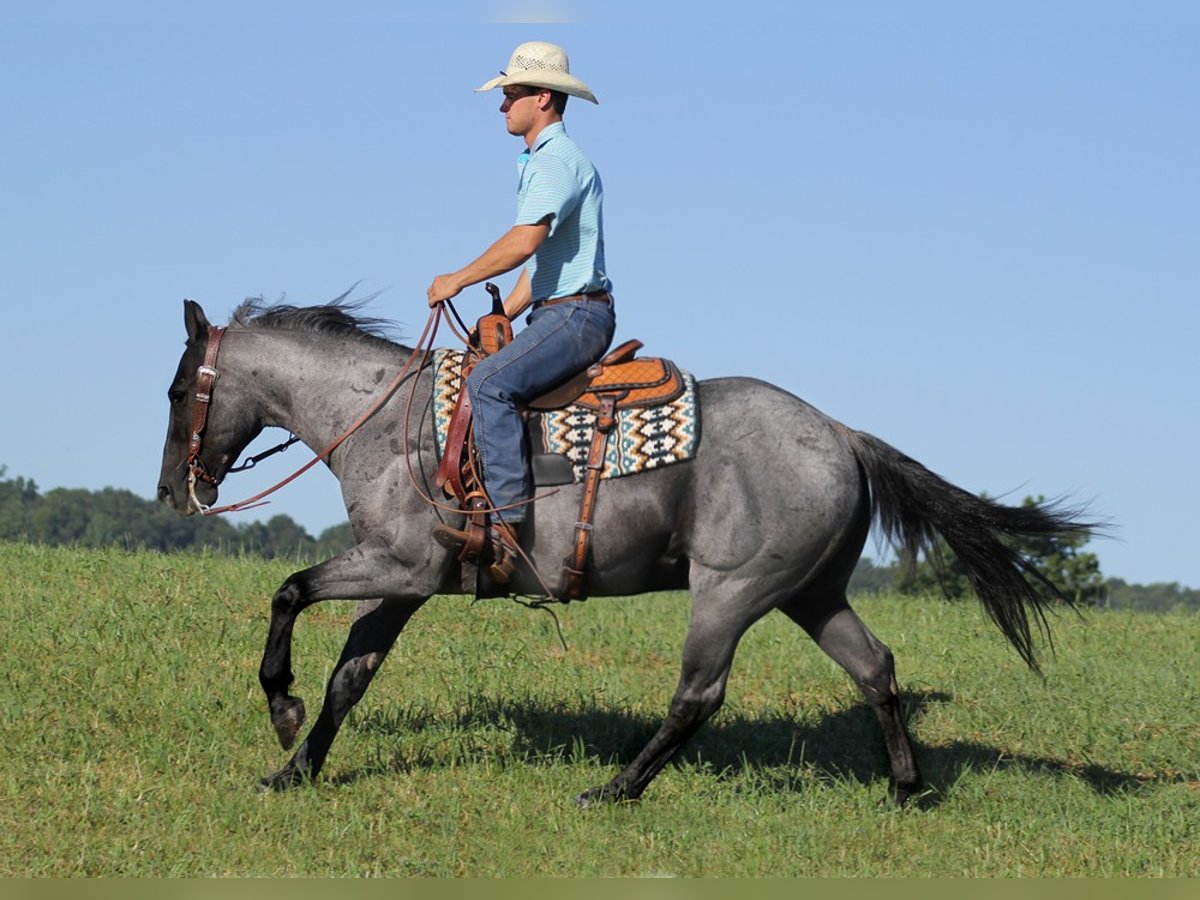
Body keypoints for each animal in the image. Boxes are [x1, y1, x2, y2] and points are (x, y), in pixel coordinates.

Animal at [159, 300, 1099, 806]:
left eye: (175, 391)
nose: (173, 491)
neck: (393, 426)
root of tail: (842, 434)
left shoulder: (403, 565)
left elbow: (289, 592)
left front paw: (281, 712)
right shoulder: (399, 583)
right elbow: (349, 678)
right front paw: (295, 769)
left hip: (730, 592)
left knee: (698, 696)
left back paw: (616, 788)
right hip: (813, 591)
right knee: (876, 667)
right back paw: (905, 789)